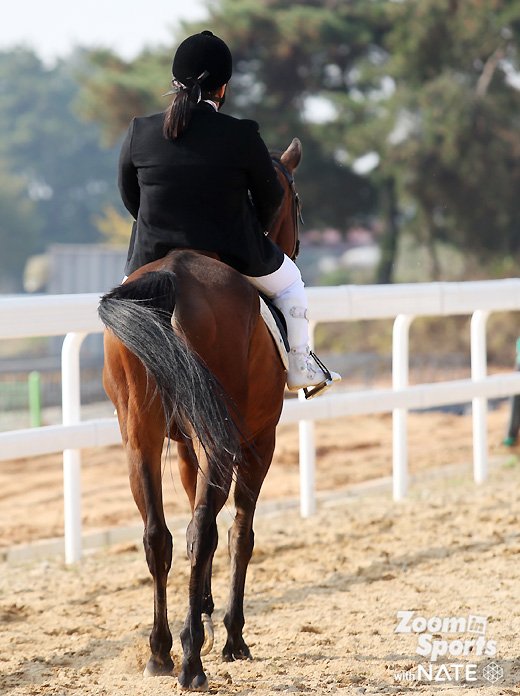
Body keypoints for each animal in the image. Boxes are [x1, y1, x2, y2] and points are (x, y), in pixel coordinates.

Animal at [98, 139, 302, 688]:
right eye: (294, 201)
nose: (294, 246)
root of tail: (170, 276)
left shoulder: (189, 446)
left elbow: (197, 516)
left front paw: (205, 611)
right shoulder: (257, 442)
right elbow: (238, 534)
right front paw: (230, 635)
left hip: (140, 438)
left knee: (160, 537)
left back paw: (162, 652)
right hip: (225, 441)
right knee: (202, 532)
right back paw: (192, 662)